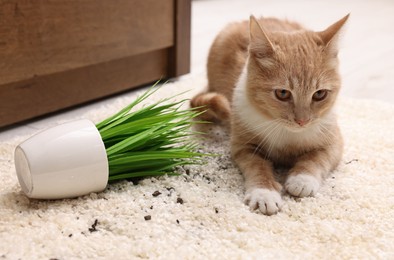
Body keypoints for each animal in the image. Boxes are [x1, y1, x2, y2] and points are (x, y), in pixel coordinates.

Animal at [192, 15, 350, 216]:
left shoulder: (334, 141)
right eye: (282, 93)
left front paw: (302, 179)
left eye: (320, 94)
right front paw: (264, 193)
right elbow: (257, 166)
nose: (302, 121)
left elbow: (317, 158)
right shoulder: (243, 146)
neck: (287, 134)